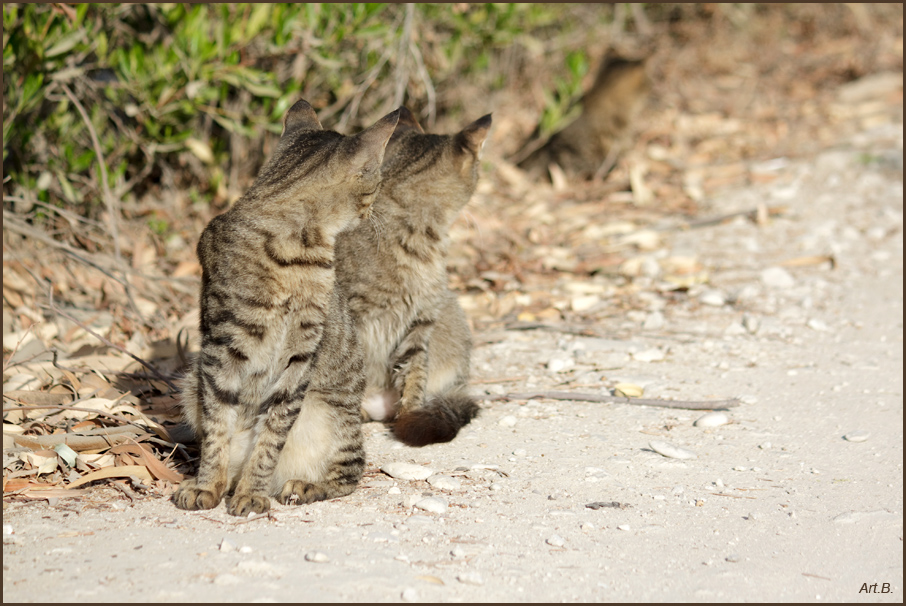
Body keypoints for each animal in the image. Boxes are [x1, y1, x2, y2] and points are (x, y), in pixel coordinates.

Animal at [174, 101, 400, 516]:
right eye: (375, 182)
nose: (373, 209)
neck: (298, 253)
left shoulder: (301, 354)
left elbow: (272, 433)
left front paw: (252, 491)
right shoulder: (221, 348)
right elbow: (217, 427)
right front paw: (208, 485)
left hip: (328, 411)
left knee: (351, 470)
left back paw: (304, 485)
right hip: (189, 382)